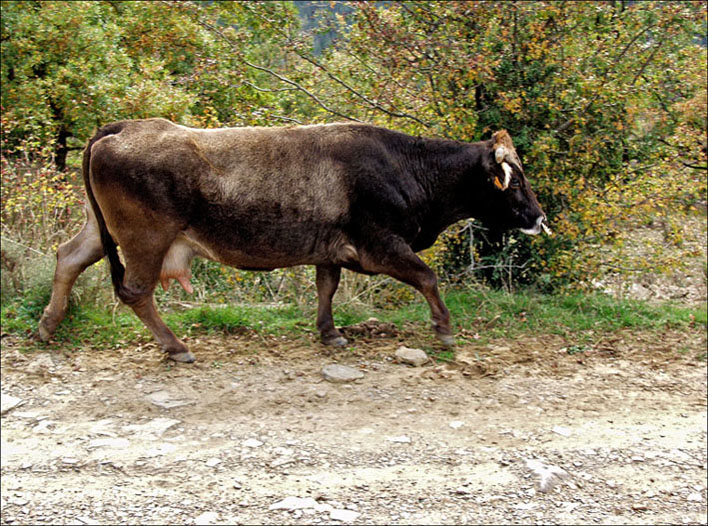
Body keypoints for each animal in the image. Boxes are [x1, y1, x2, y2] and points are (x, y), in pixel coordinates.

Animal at [37, 120, 548, 364]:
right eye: (517, 180)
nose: (540, 218)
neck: (407, 168)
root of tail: (125, 126)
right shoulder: (380, 244)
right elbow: (428, 277)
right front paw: (444, 329)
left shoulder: (332, 248)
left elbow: (327, 287)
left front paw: (330, 332)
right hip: (146, 237)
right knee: (136, 292)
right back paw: (176, 346)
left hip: (101, 229)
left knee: (68, 258)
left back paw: (47, 326)